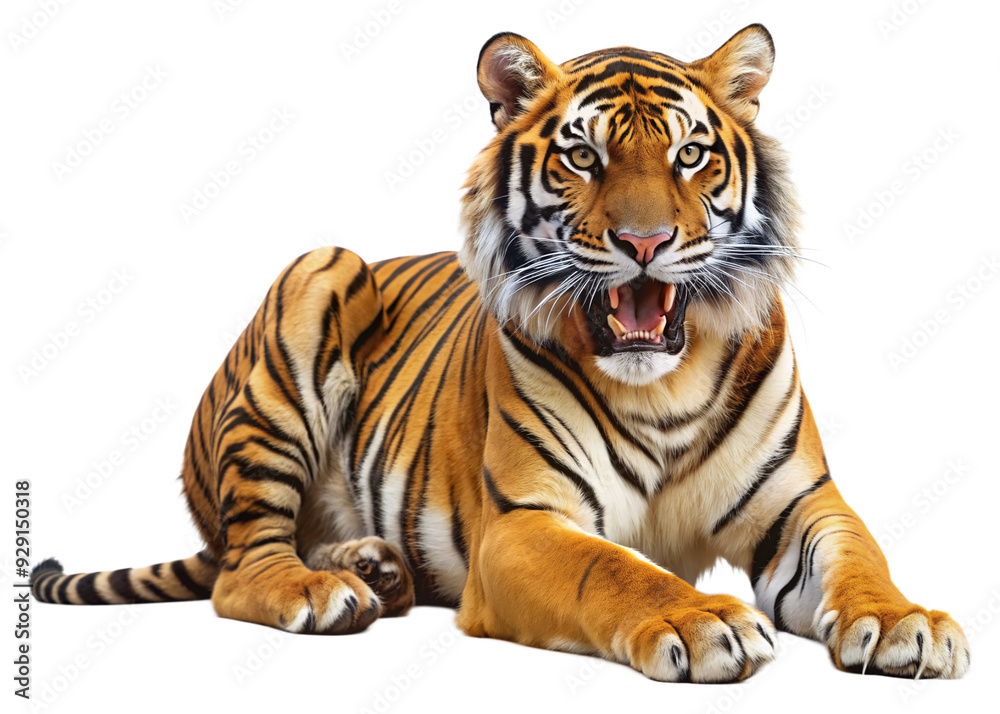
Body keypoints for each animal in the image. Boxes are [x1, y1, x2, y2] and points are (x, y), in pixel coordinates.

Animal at [31, 24, 970, 682]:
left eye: (690, 154)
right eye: (583, 156)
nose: (644, 242)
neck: (662, 384)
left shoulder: (802, 503)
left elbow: (861, 556)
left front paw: (906, 623)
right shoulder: (523, 523)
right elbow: (615, 570)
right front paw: (700, 620)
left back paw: (374, 566)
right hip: (317, 278)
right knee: (243, 563)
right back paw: (322, 590)